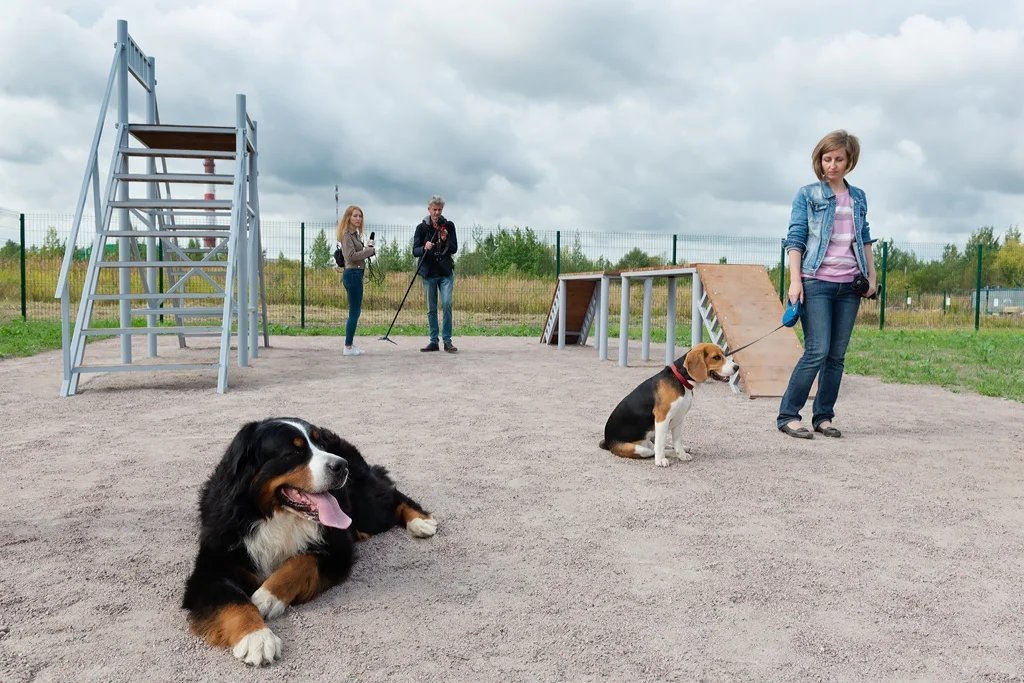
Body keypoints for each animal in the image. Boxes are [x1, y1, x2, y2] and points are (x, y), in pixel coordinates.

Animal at [182, 417, 434, 667]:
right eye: (295, 451)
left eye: (320, 444)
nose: (341, 466)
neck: (277, 517)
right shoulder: (213, 566)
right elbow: (233, 601)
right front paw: (257, 637)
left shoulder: (337, 550)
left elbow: (300, 563)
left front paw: (267, 597)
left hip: (370, 510)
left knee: (392, 495)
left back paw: (421, 521)